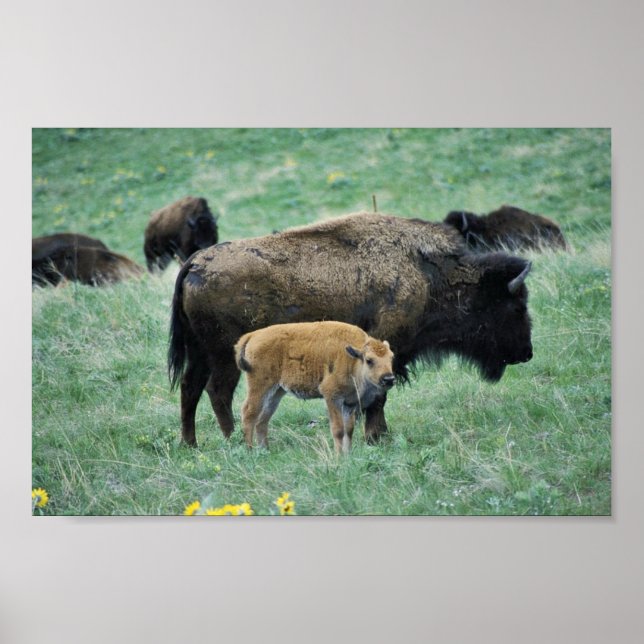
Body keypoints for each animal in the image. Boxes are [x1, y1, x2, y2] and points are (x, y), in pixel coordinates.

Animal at [234, 321, 395, 453]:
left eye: (391, 358)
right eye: (369, 360)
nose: (389, 378)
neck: (352, 359)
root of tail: (253, 335)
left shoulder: (350, 402)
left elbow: (349, 430)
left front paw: (348, 455)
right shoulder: (331, 396)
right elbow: (338, 429)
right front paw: (339, 457)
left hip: (276, 392)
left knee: (262, 420)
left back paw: (265, 450)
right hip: (260, 386)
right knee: (249, 413)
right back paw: (250, 451)